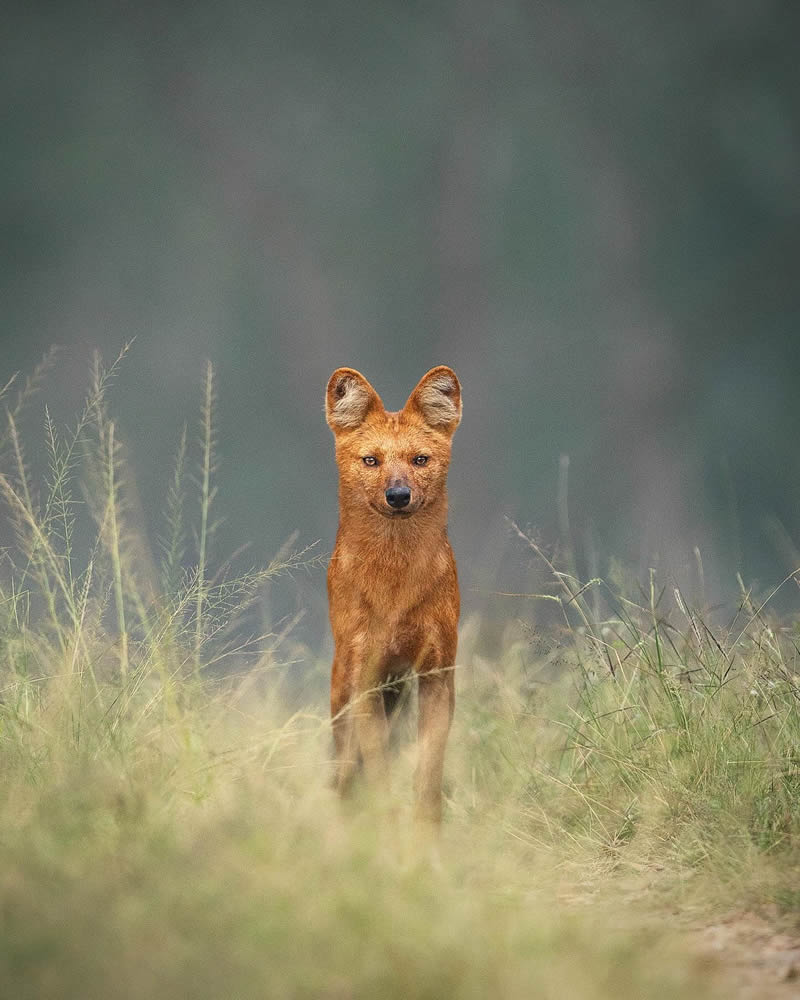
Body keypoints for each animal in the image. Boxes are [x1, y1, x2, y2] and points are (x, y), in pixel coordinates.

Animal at [324, 368, 462, 828]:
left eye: (420, 460)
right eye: (371, 460)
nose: (398, 495)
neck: (396, 585)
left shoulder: (437, 671)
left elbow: (429, 768)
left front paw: (426, 834)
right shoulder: (366, 677)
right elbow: (379, 767)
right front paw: (384, 828)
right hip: (343, 691)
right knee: (346, 771)